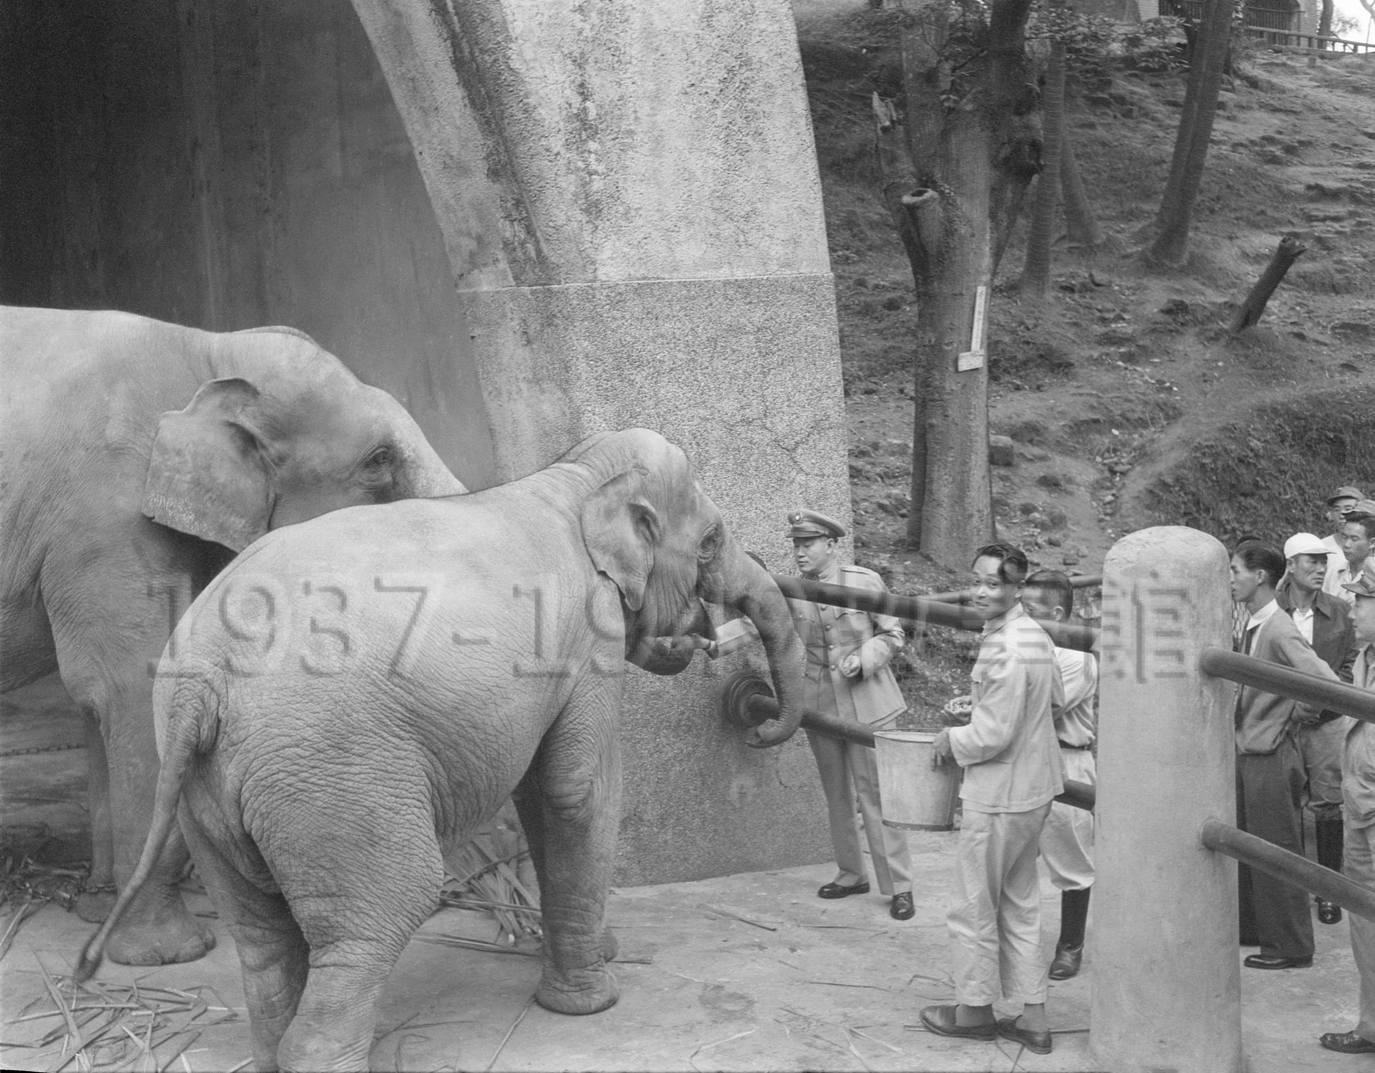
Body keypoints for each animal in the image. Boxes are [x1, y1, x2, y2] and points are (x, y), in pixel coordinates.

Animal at [0, 305, 467, 968]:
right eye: (379, 459)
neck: (209, 351)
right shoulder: (104, 512)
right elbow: (129, 686)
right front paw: (169, 955)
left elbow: (98, 702)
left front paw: (100, 919)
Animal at [75, 426, 803, 1073]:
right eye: (710, 542)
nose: (762, 726)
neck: (572, 476)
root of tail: (201, 681)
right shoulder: (583, 638)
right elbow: (575, 788)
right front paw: (592, 1001)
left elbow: (538, 795)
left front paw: (599, 953)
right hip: (335, 779)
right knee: (382, 911)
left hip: (211, 797)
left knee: (262, 939)